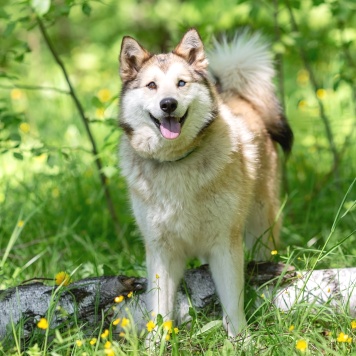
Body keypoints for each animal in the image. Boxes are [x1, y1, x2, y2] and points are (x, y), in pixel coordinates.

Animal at [118, 28, 294, 336]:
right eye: (152, 85)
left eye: (181, 83)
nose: (168, 104)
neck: (176, 163)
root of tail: (236, 95)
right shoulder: (161, 251)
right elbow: (160, 311)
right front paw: (156, 343)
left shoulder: (225, 244)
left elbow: (233, 304)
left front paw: (241, 341)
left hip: (261, 228)